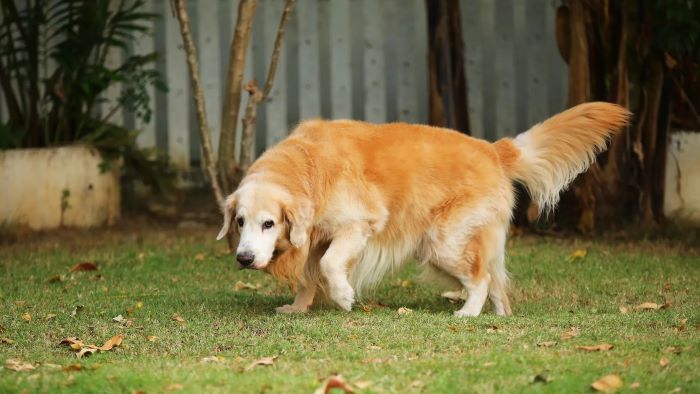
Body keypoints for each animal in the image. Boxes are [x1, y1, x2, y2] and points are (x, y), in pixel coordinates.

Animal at [216, 102, 632, 318]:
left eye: (269, 223)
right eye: (240, 222)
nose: (244, 258)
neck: (307, 166)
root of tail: (494, 149)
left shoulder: (359, 225)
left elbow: (331, 265)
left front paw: (344, 296)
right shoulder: (314, 238)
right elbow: (308, 275)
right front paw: (298, 307)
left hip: (442, 244)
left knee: (481, 278)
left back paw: (469, 313)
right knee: (496, 280)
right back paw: (498, 317)